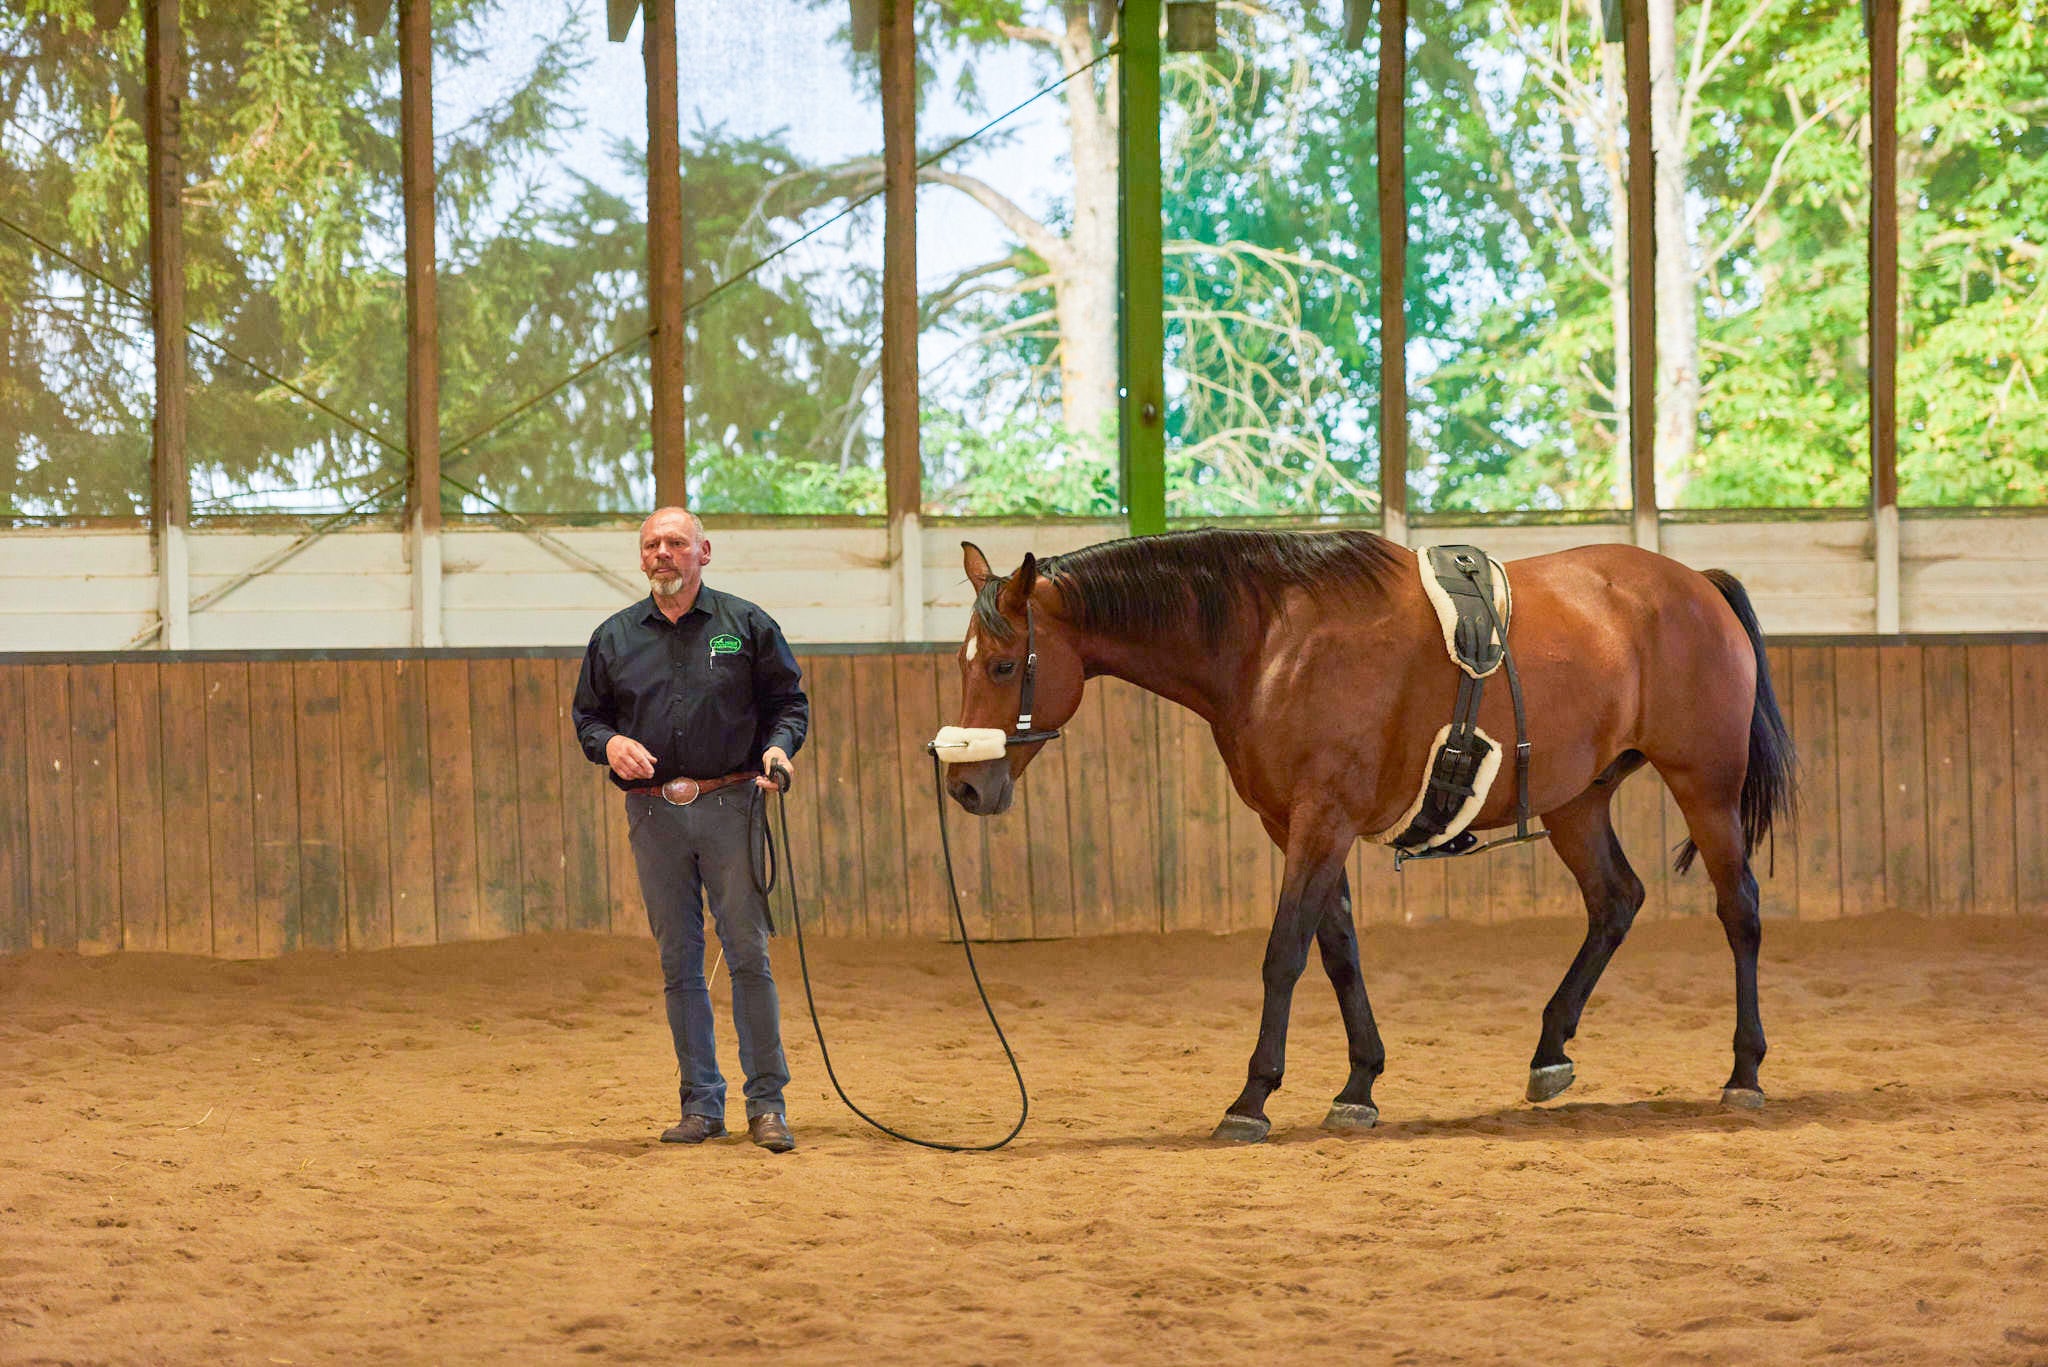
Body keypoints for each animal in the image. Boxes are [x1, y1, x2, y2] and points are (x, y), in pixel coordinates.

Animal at [940, 529, 1795, 1143]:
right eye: (964, 663)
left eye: (1006, 664)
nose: (965, 785)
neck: (1268, 642)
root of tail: (1696, 585)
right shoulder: (1302, 825)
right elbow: (1339, 951)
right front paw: (1359, 1084)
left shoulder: (1322, 818)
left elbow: (1285, 952)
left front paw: (1253, 1096)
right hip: (1577, 802)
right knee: (1616, 900)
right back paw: (1551, 1050)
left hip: (1704, 787)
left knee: (1741, 911)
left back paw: (1744, 1072)